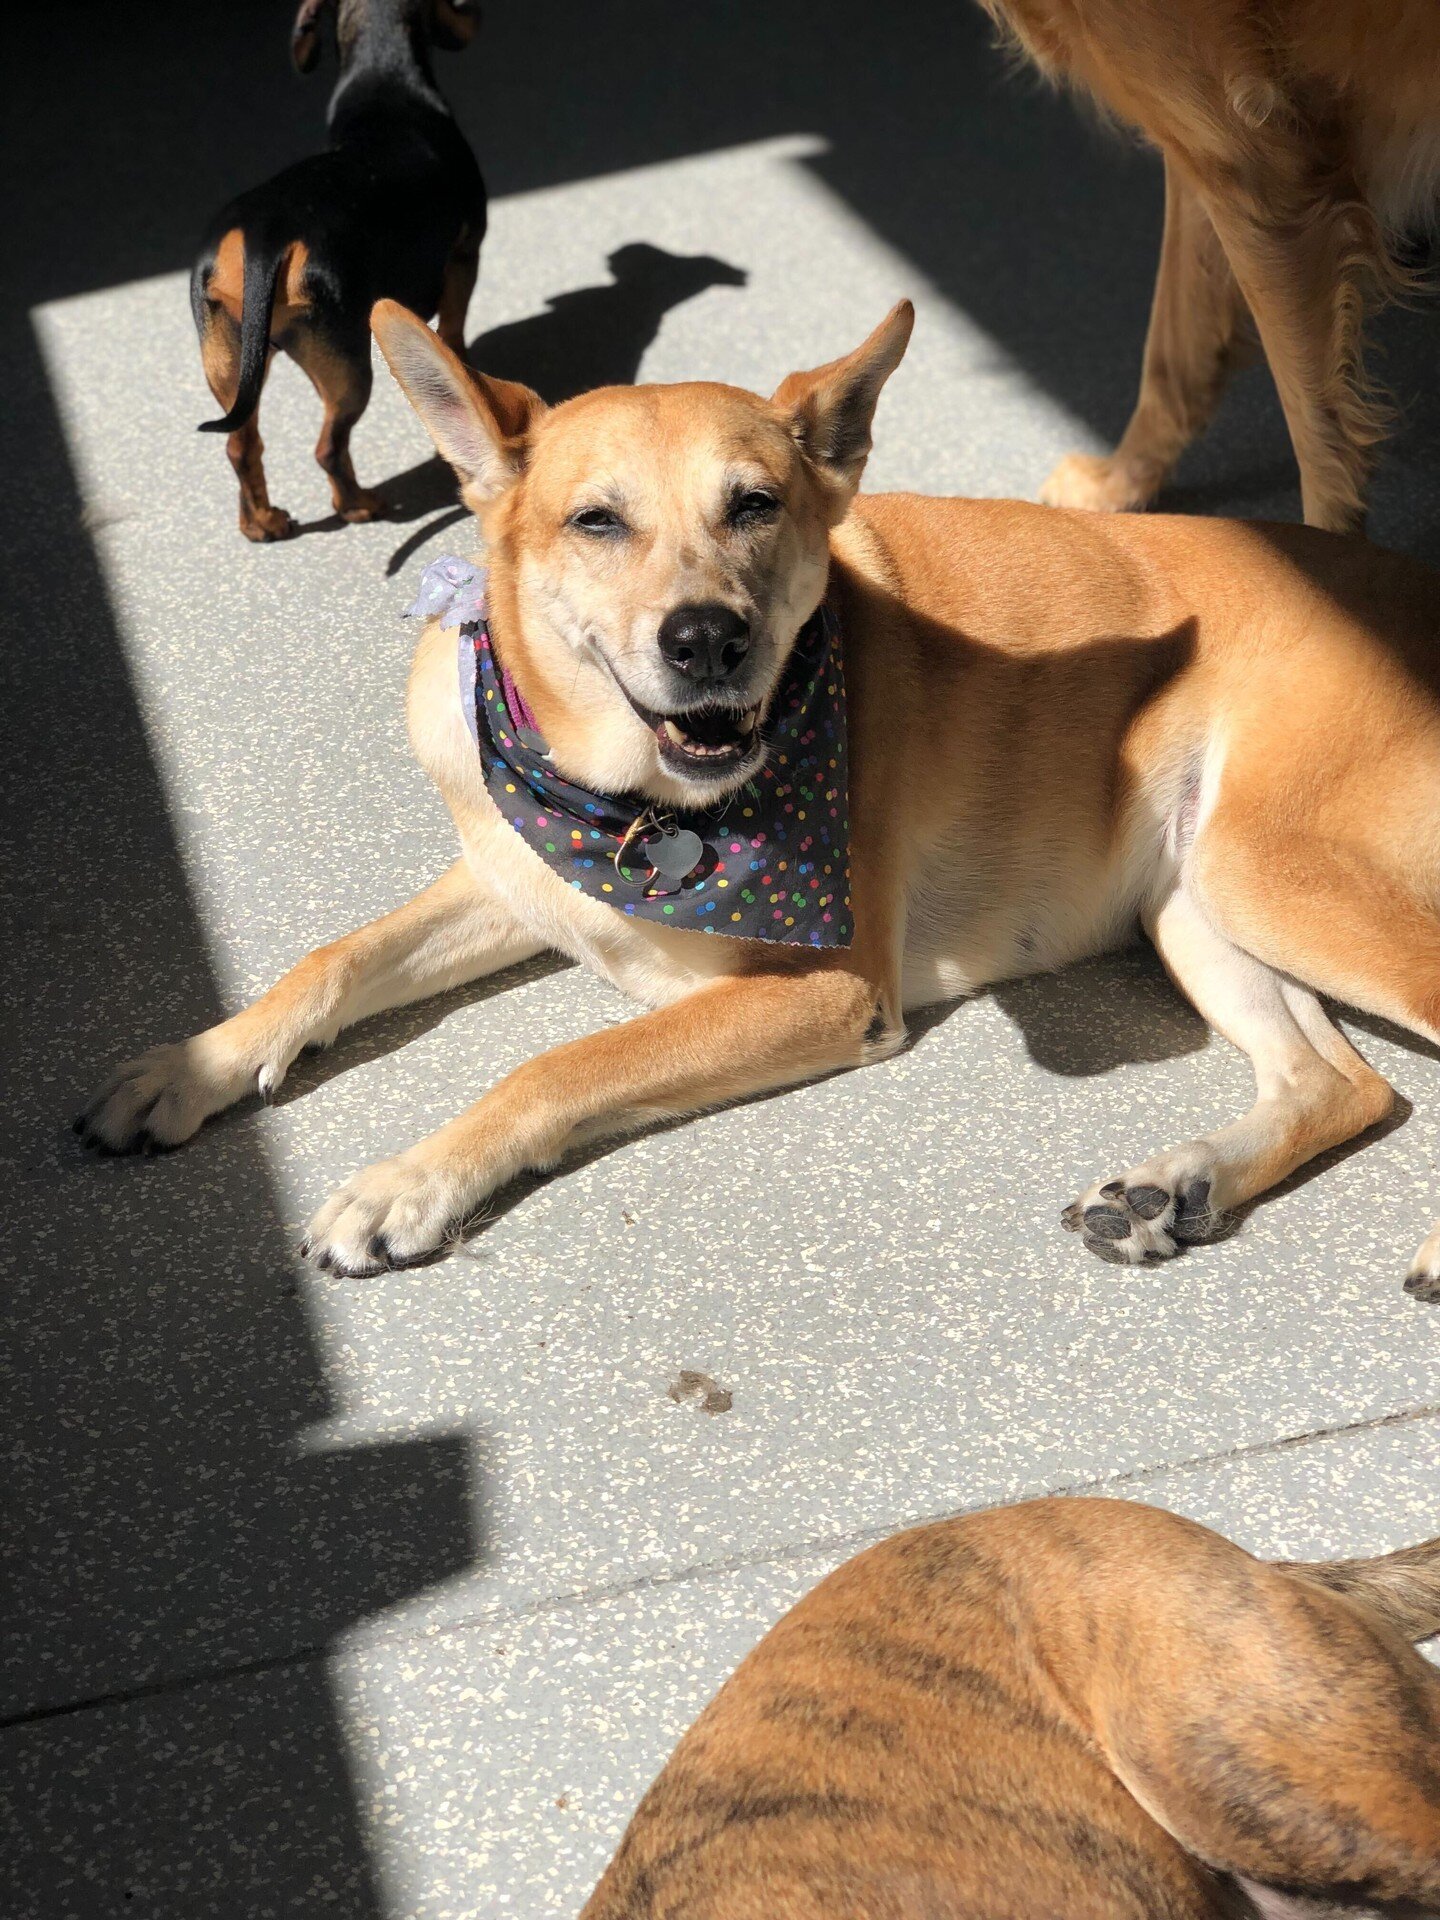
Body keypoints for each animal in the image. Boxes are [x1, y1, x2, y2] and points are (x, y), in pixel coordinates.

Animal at [73, 303, 1440, 1305]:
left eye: (756, 505)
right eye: (595, 520)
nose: (707, 641)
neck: (633, 806)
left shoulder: (825, 991)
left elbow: (555, 1063)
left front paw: (404, 1184)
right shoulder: (515, 878)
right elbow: (335, 961)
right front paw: (194, 1065)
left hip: (1270, 871)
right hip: (1197, 897)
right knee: (1346, 1085)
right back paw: (1184, 1186)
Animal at [192, 0, 487, 541]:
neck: (384, 82)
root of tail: (266, 237)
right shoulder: (464, 257)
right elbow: (454, 333)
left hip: (230, 367)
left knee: (241, 447)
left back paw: (261, 523)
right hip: (349, 372)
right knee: (328, 448)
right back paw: (359, 505)